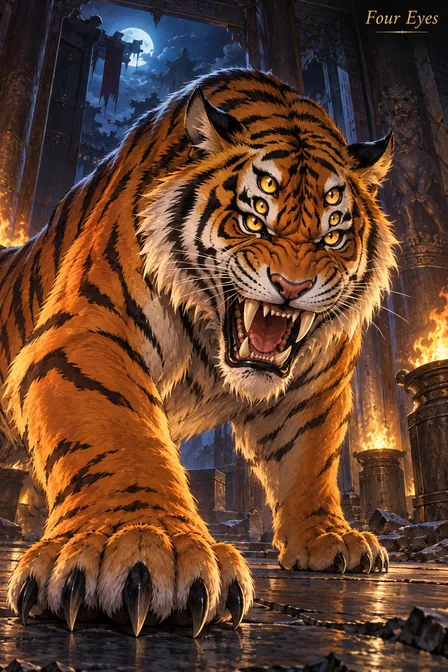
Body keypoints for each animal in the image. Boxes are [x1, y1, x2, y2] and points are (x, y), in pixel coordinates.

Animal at [0, 68, 396, 638]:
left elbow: (310, 455)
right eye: (256, 219)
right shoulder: (90, 335)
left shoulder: (316, 383)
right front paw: (140, 545)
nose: (292, 287)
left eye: (333, 235)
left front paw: (328, 538)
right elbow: (121, 437)